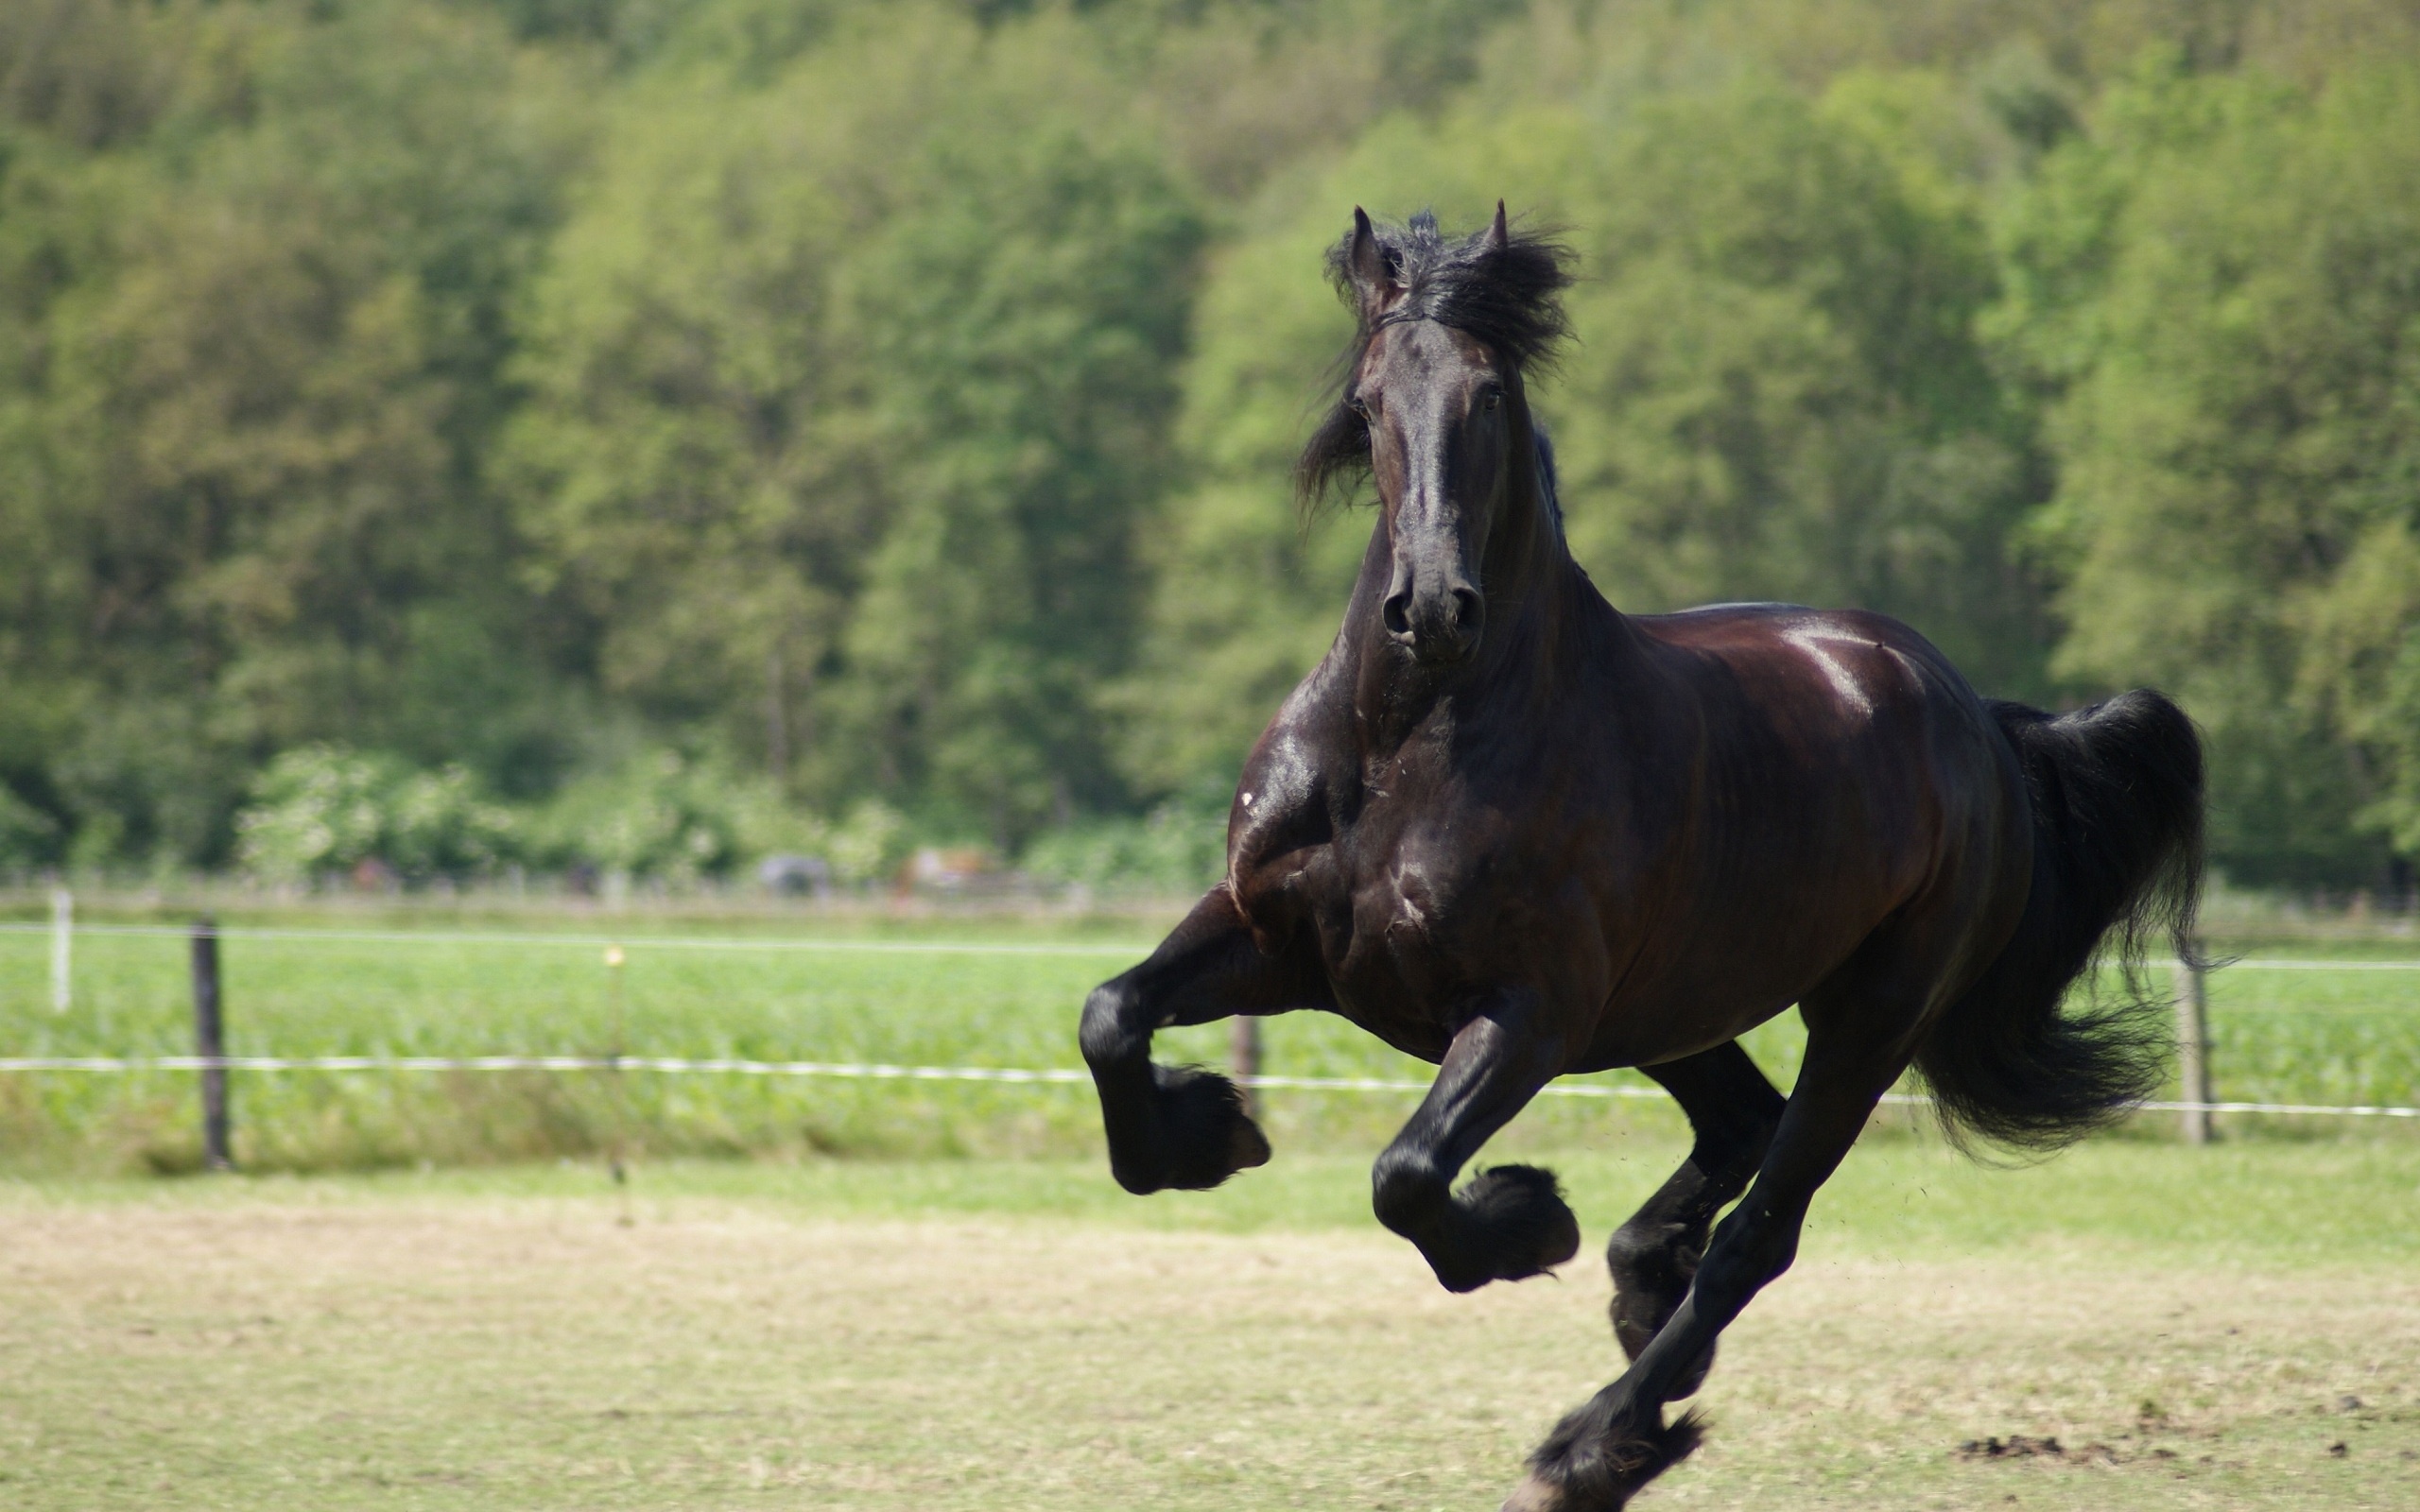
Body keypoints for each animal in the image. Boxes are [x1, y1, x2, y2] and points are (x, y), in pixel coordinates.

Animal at [1079, 205, 2204, 1510]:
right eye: (1368, 401)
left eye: (1491, 395)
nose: (1433, 610)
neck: (1412, 742)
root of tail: (1974, 713)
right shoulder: (1279, 940)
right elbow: (1111, 1017)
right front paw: (1208, 1132)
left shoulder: (1527, 1015)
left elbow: (1405, 1174)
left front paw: (1523, 1221)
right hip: (1675, 1005)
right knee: (1740, 1129)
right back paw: (1638, 1285)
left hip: (1867, 1014)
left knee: (1760, 1230)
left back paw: (1597, 1440)